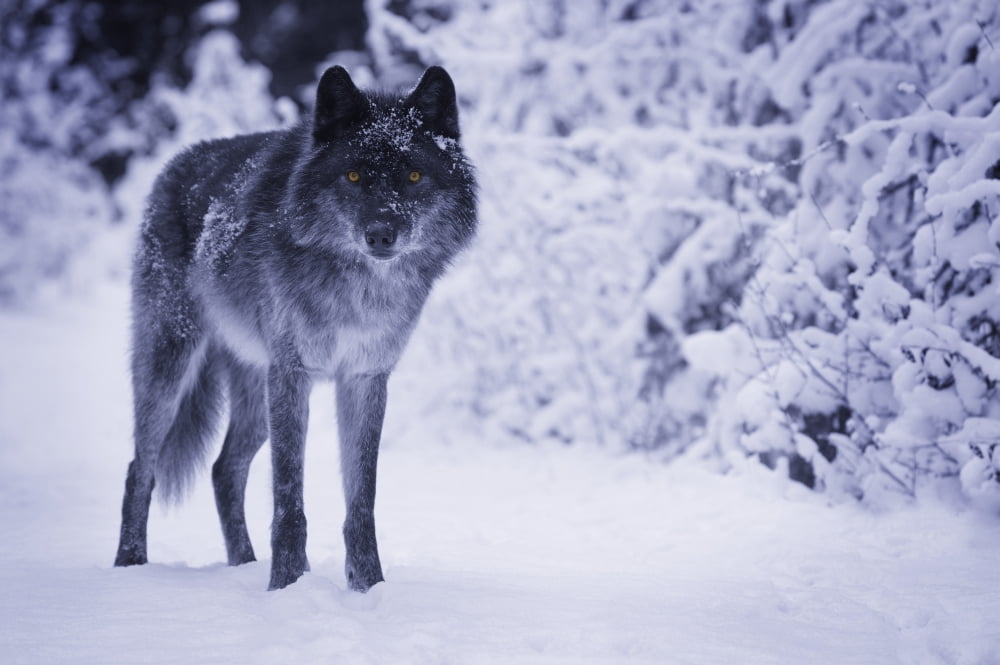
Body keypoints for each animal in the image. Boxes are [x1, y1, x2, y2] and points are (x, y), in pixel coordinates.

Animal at [113, 65, 477, 592]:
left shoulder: (364, 378)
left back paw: (243, 565)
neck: (358, 291)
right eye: (353, 175)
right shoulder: (292, 373)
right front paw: (285, 585)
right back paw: (129, 566)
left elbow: (361, 502)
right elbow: (289, 499)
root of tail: (174, 165)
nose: (381, 235)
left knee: (224, 470)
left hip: (255, 393)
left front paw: (368, 589)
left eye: (413, 176)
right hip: (171, 367)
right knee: (140, 468)